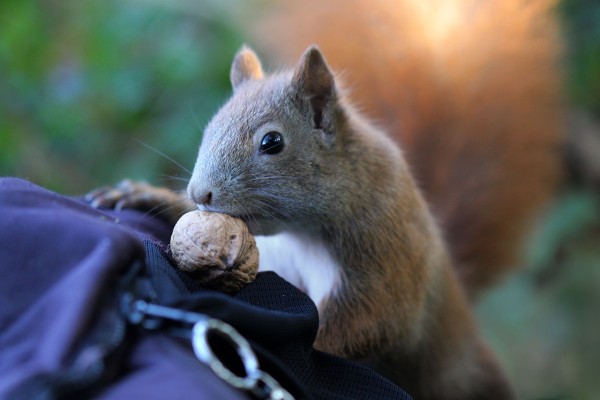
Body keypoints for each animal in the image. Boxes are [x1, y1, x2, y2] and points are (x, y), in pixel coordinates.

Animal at [88, 1, 564, 398]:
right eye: (210, 127)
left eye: (272, 142)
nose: (199, 193)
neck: (298, 235)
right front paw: (142, 196)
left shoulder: (384, 251)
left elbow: (364, 324)